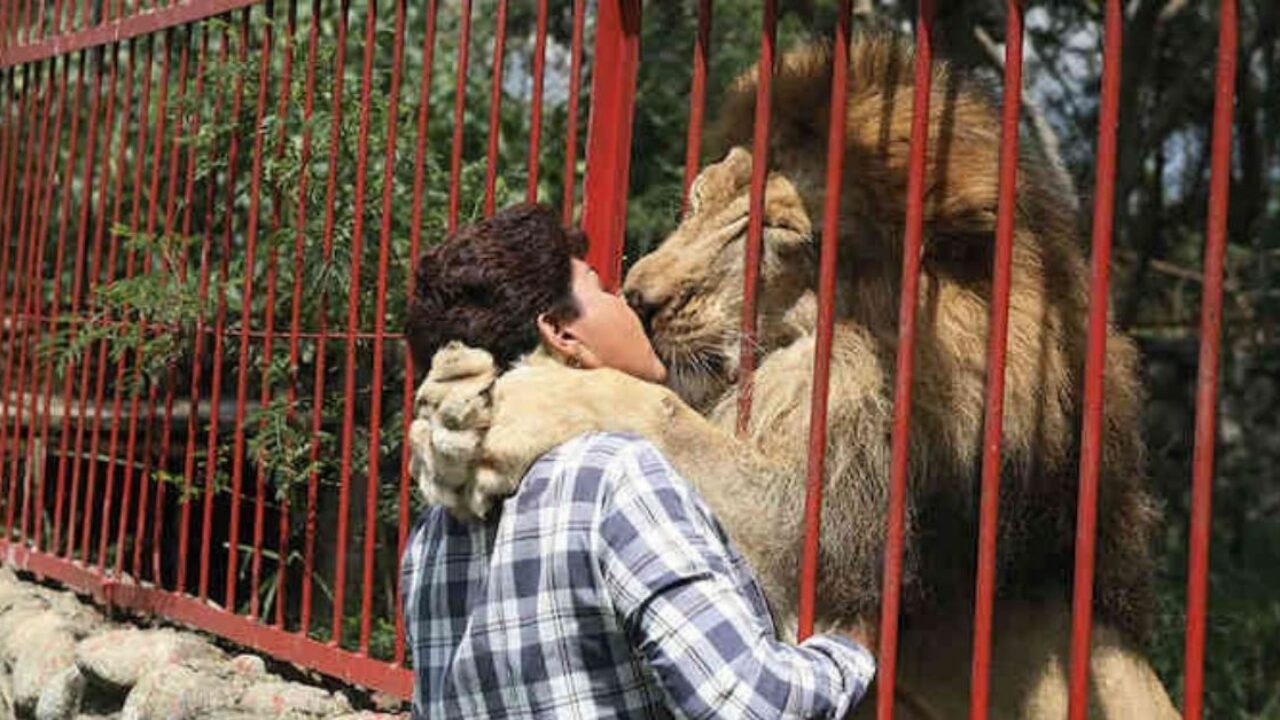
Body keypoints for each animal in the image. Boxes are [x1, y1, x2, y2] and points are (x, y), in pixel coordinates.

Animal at [412, 35, 1177, 717]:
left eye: (776, 231)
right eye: (699, 200)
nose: (638, 297)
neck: (817, 360)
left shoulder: (827, 553)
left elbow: (665, 415)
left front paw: (523, 401)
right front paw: (448, 409)